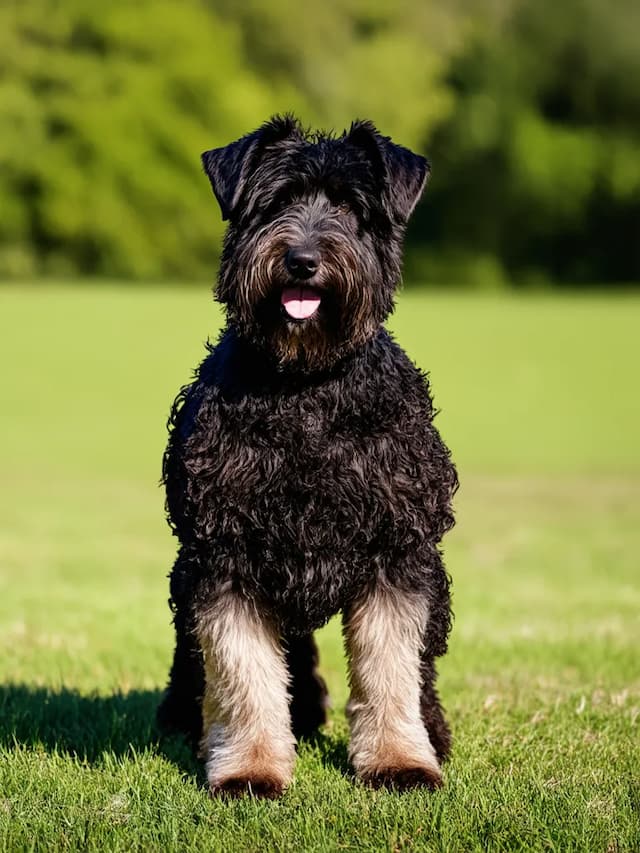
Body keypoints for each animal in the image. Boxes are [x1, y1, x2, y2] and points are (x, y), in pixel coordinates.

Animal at [158, 116, 458, 796]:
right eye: (275, 203)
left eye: (349, 207)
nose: (302, 260)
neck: (307, 387)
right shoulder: (225, 555)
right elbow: (243, 671)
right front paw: (249, 766)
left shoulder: (396, 550)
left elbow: (391, 666)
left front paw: (398, 759)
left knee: (422, 670)